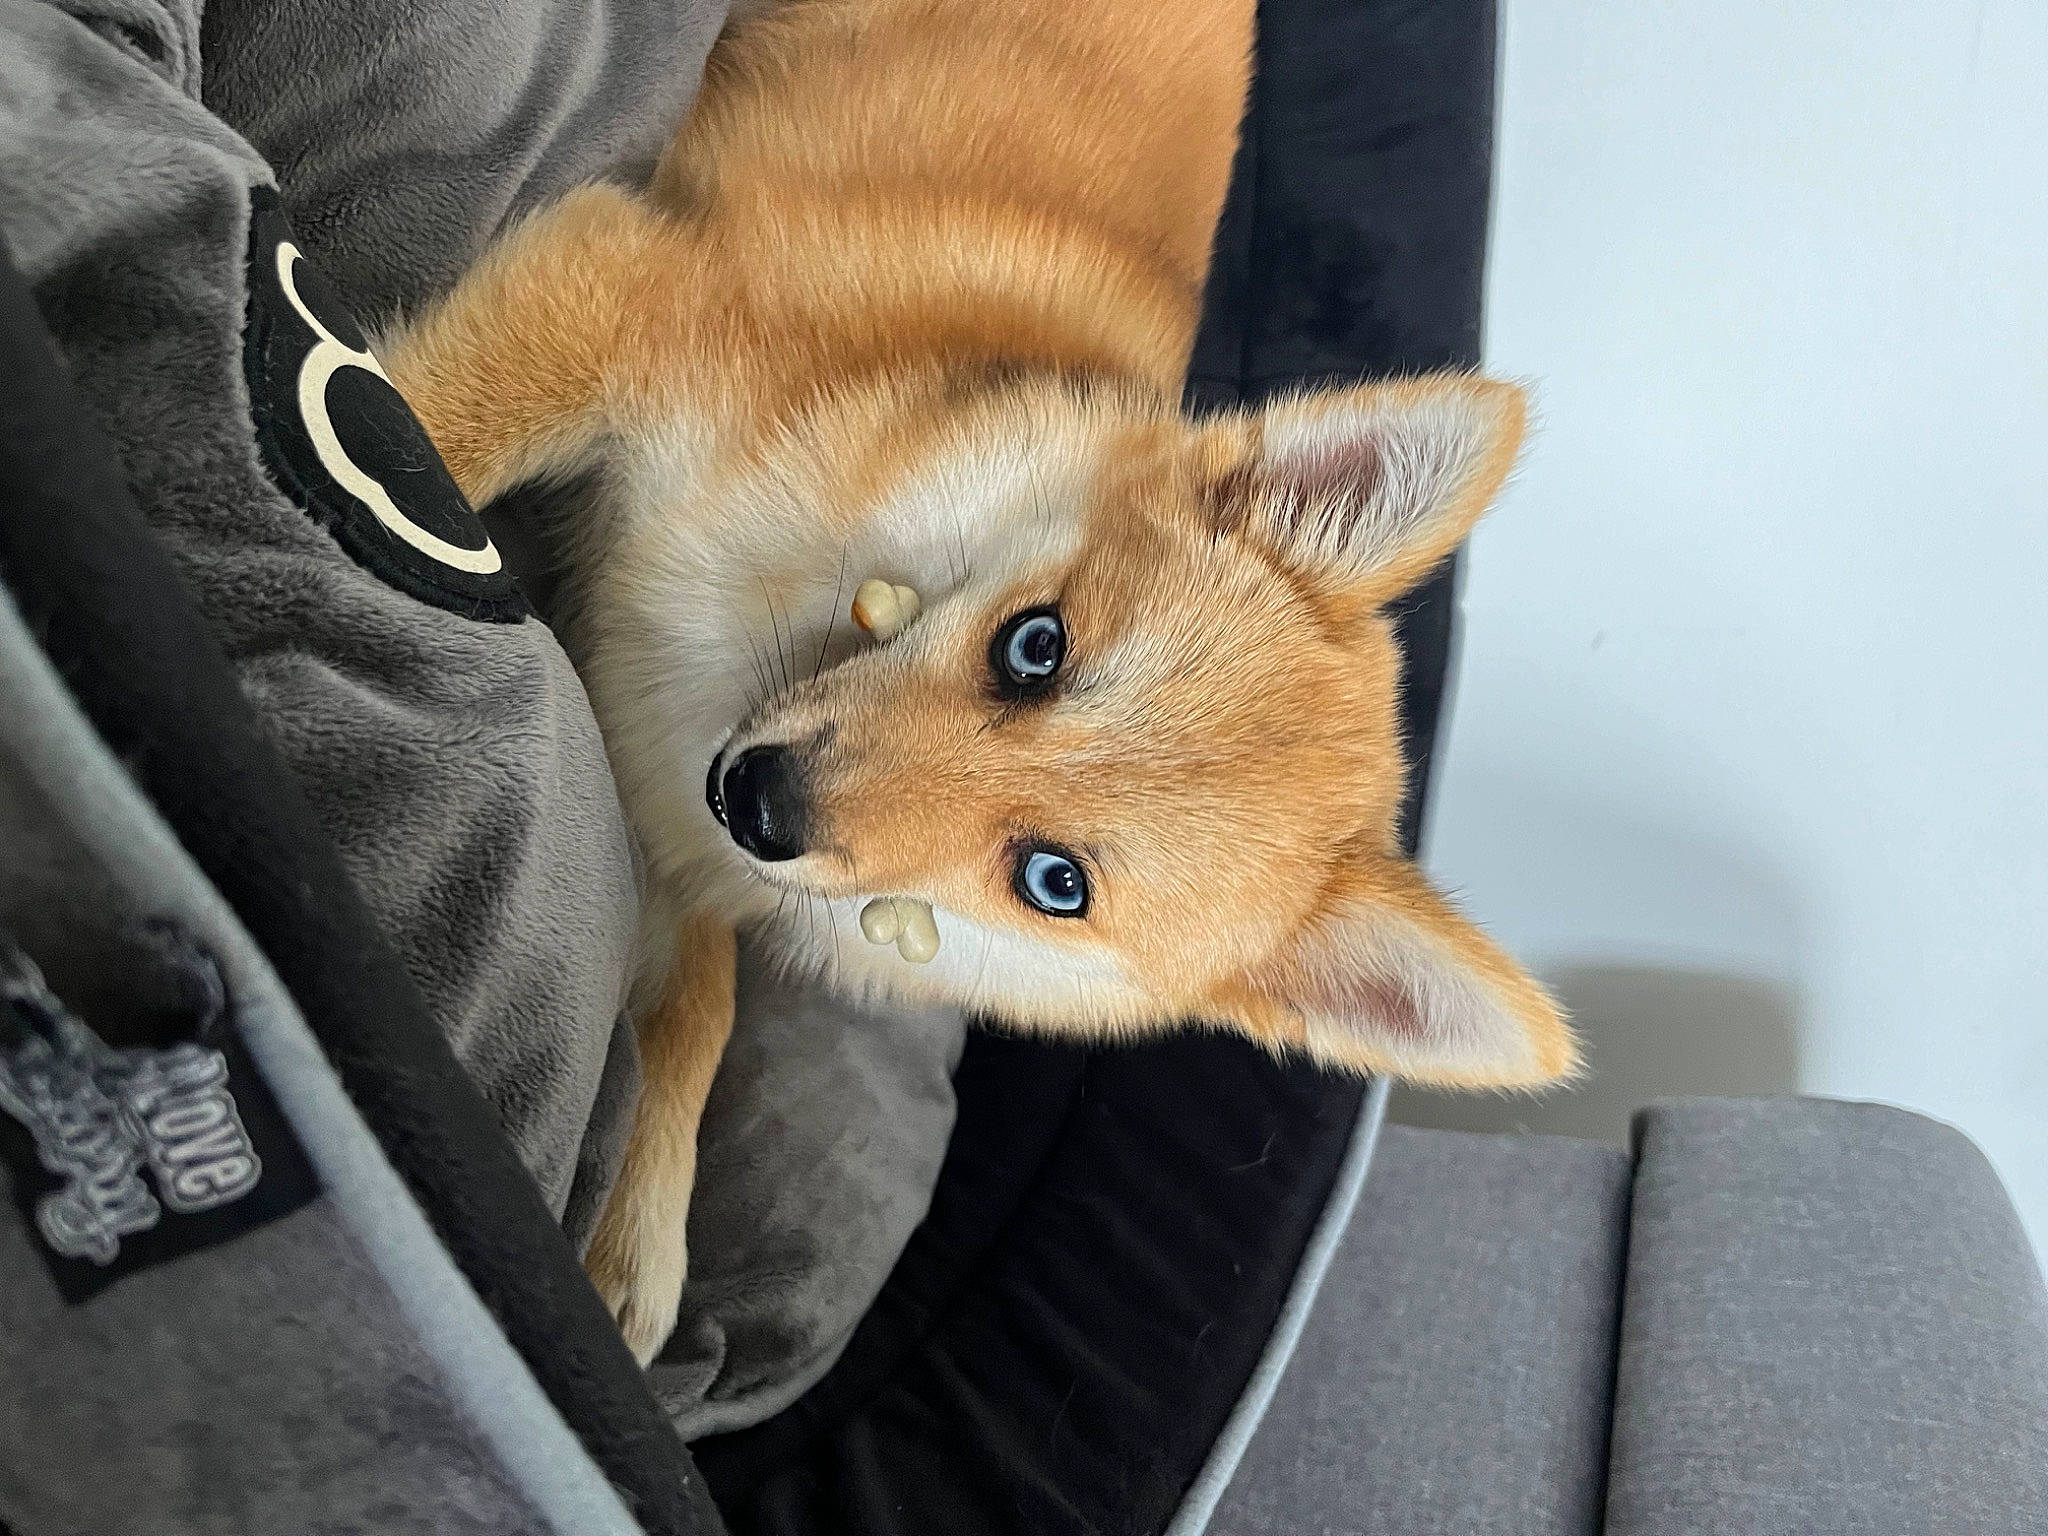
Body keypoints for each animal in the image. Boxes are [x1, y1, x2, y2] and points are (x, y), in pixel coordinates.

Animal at [381, 0, 1578, 1364]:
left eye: (1053, 884)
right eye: (1034, 646)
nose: (760, 805)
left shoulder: (670, 827)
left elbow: (699, 1008)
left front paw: (638, 1227)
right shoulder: (617, 285)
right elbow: (426, 427)